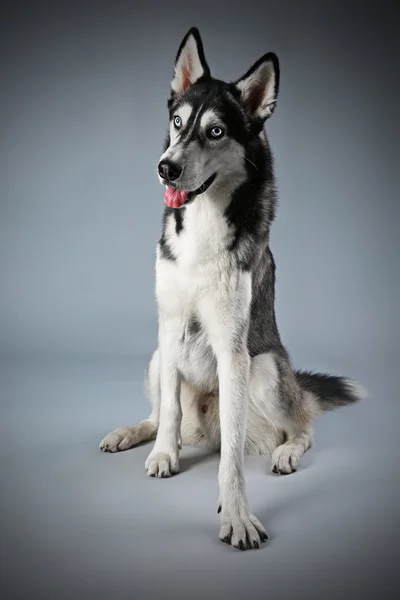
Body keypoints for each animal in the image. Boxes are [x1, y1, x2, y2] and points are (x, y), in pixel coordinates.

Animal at [101, 29, 366, 552]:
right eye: (178, 122)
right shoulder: (170, 327)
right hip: (158, 357)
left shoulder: (233, 348)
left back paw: (286, 453)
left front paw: (237, 514)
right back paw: (135, 433)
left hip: (263, 370)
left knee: (300, 426)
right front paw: (162, 453)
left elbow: (232, 463)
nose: (165, 168)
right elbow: (167, 411)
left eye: (216, 132)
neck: (204, 222)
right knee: (164, 413)